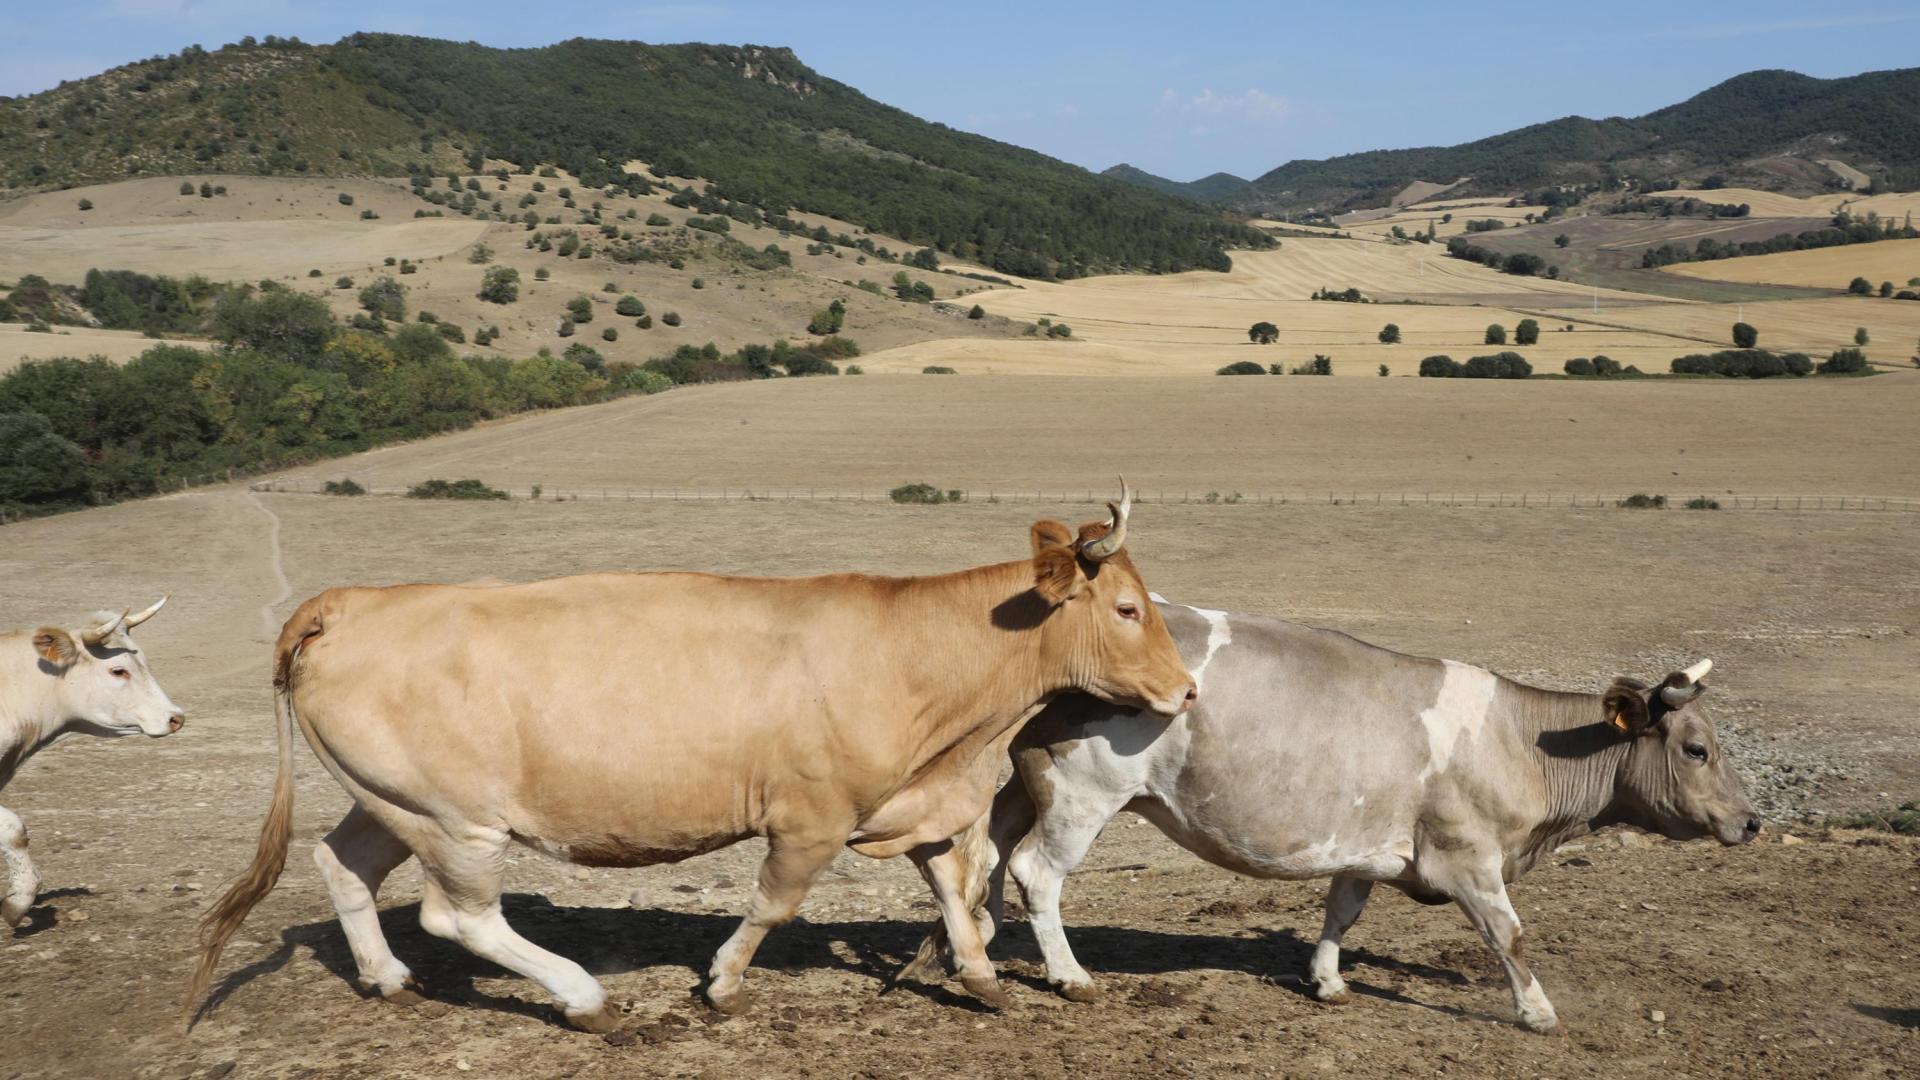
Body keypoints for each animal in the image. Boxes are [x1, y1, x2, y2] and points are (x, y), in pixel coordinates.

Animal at [188, 486, 1197, 1032]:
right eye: (1128, 609)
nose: (1187, 691)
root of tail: (351, 602)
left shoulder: (918, 797)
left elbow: (954, 884)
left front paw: (982, 980)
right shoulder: (810, 817)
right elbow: (774, 903)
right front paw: (721, 983)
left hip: (390, 800)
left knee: (343, 862)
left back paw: (387, 976)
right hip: (455, 821)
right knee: (459, 918)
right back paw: (582, 995)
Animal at [912, 600, 1760, 1034]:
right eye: (1695, 748)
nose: (1751, 822)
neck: (1521, 740)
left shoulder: (1366, 847)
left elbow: (1342, 911)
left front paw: (1326, 981)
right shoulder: (1470, 858)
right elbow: (1508, 934)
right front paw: (1538, 1010)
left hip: (1030, 781)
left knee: (988, 859)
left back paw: (969, 950)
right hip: (1085, 792)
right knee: (1036, 874)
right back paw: (1070, 977)